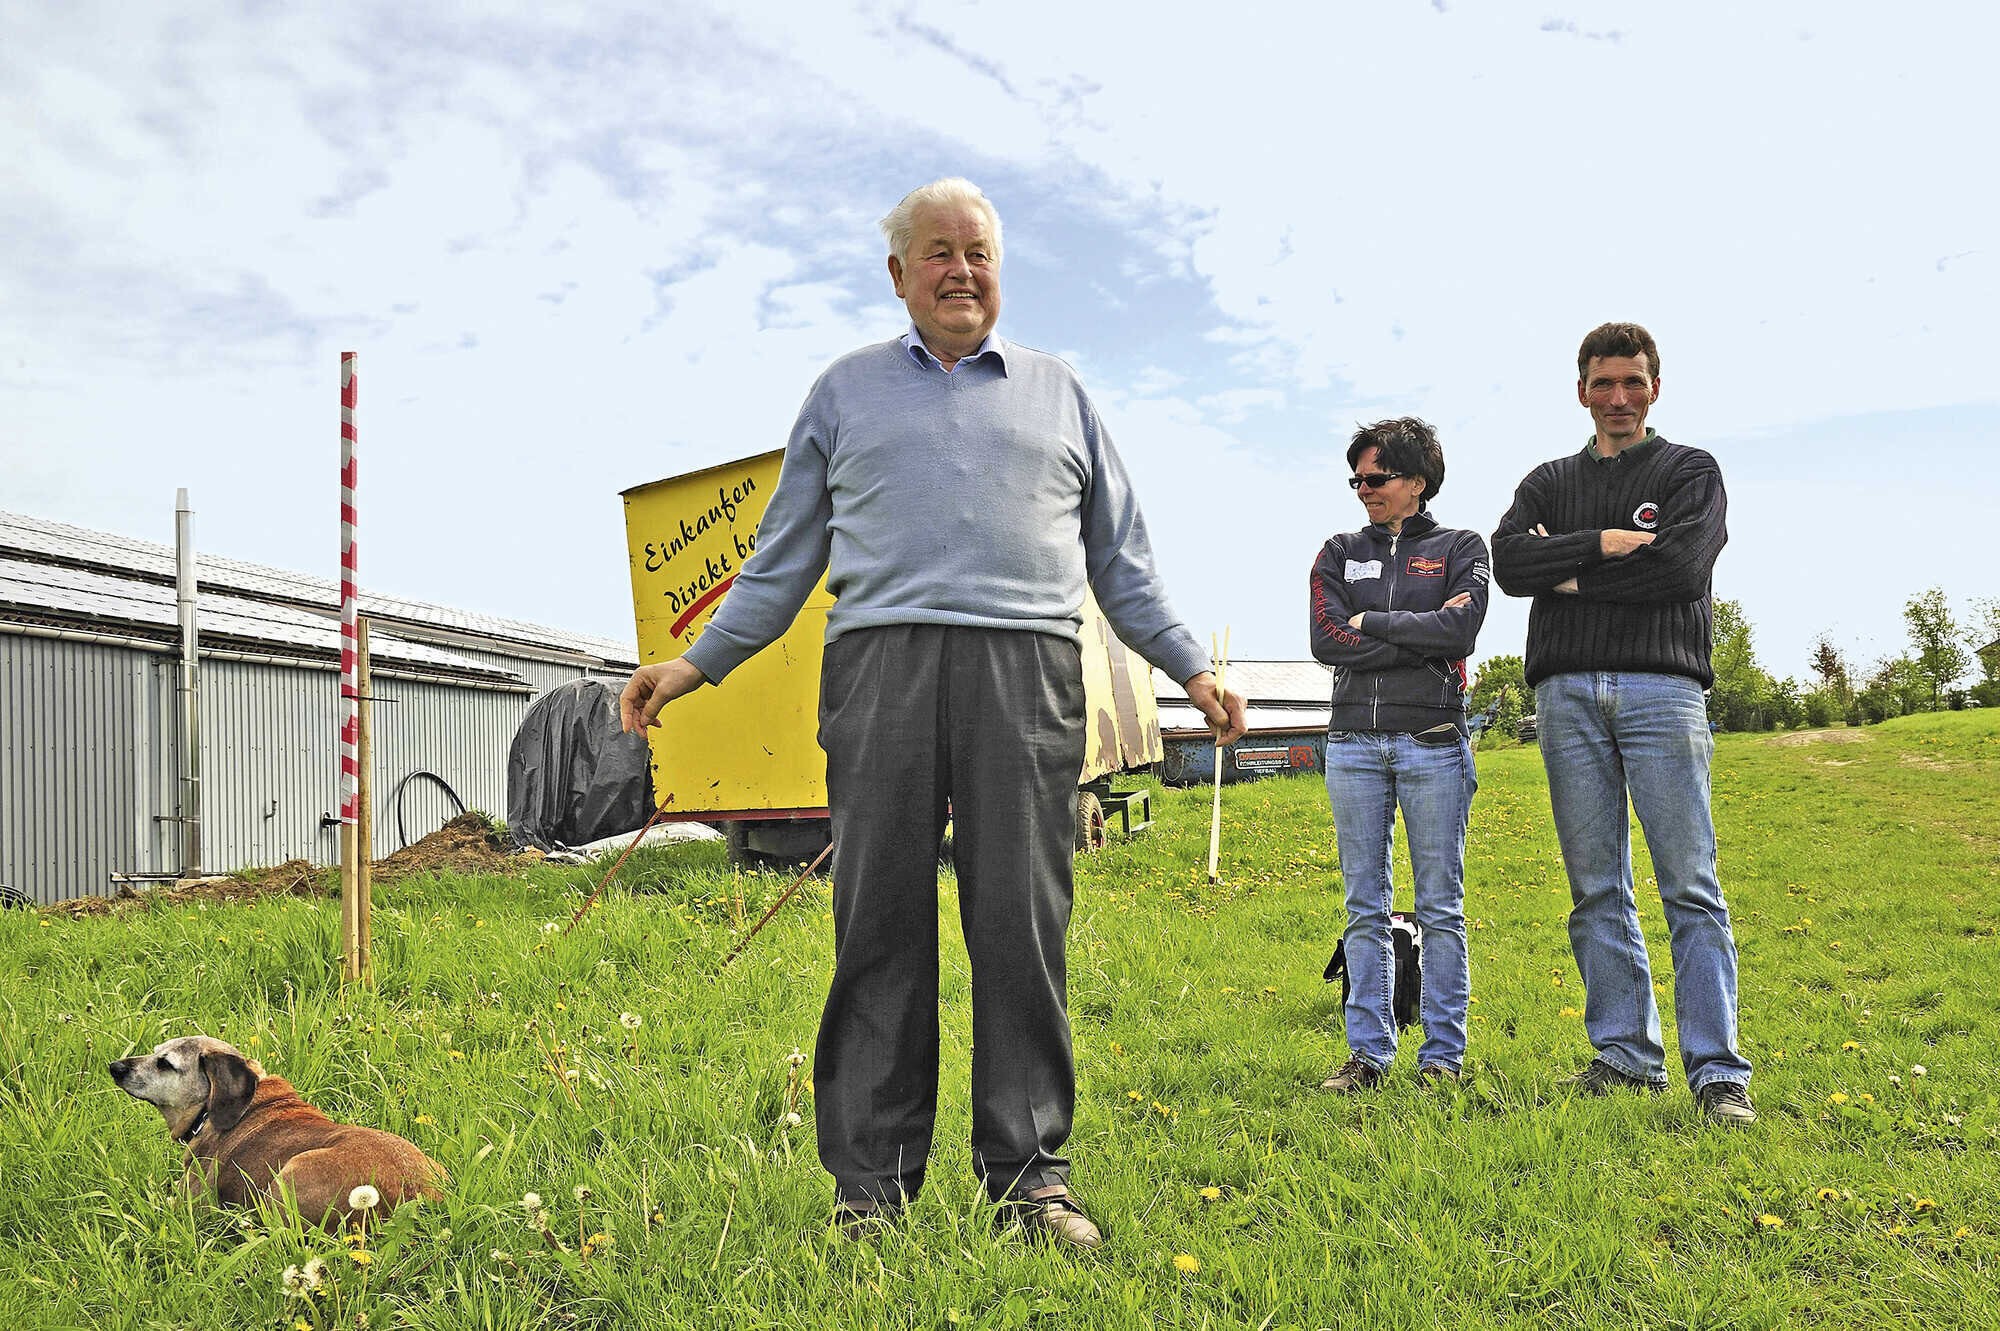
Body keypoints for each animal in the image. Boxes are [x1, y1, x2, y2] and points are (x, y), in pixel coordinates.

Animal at [106, 1031, 446, 1215]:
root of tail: (420, 1195)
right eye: (154, 1053)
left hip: (288, 1175)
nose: (115, 1066)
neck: (208, 1112)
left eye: (165, 1064)